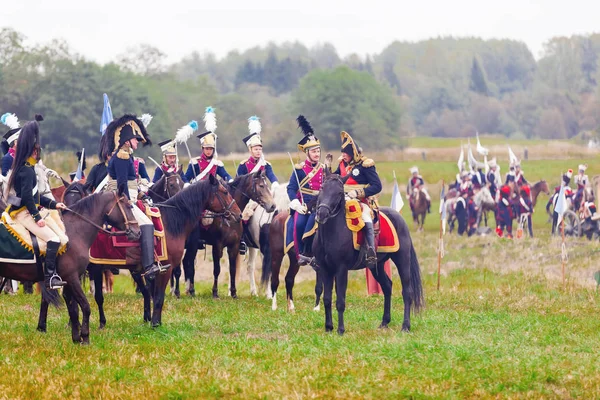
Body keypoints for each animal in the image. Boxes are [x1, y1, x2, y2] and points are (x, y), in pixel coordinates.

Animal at [2, 191, 139, 344]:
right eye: (128, 206)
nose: (137, 232)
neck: (74, 232)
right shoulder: (72, 277)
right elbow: (84, 306)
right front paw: (85, 337)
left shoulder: (68, 280)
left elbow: (73, 308)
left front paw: (76, 338)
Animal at [180, 170, 276, 298]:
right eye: (261, 185)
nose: (272, 206)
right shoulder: (217, 246)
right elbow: (217, 269)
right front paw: (215, 292)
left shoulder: (234, 246)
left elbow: (232, 269)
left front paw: (234, 293)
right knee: (188, 263)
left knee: (187, 262)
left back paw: (189, 290)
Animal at [312, 172, 424, 334]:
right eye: (322, 188)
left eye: (339, 192)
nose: (321, 213)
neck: (329, 235)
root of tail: (399, 218)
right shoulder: (325, 268)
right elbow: (327, 299)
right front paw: (328, 327)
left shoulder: (341, 269)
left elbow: (340, 300)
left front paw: (340, 329)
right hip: (376, 265)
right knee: (387, 286)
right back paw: (384, 322)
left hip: (402, 260)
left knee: (407, 292)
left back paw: (405, 326)